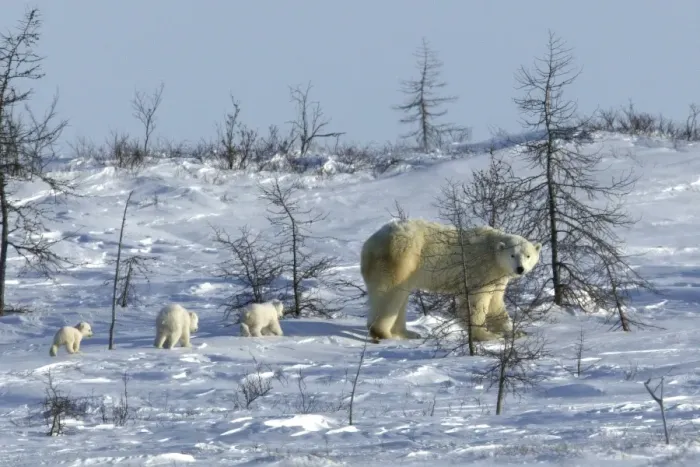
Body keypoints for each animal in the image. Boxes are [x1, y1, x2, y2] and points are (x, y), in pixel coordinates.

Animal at [360, 218, 542, 342]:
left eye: (528, 256)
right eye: (513, 255)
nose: (520, 269)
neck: (492, 252)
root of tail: (370, 244)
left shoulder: (497, 277)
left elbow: (496, 303)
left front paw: (516, 332)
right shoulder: (480, 271)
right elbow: (476, 302)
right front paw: (486, 335)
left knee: (396, 297)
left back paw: (408, 333)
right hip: (402, 258)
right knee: (391, 294)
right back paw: (383, 333)